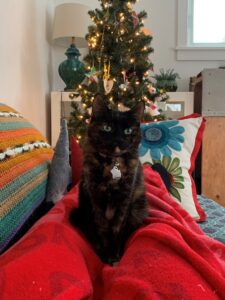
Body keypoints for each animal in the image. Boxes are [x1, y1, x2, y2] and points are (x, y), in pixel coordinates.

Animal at [69, 95, 149, 264]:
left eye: (128, 130)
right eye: (107, 128)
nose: (118, 140)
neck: (112, 163)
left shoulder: (125, 200)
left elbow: (117, 230)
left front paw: (114, 256)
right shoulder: (96, 200)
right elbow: (103, 229)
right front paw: (106, 256)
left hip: (139, 208)